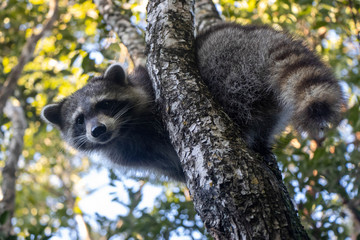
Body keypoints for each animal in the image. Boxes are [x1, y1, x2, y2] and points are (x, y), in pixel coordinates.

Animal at [40, 23, 344, 182]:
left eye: (104, 105)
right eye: (80, 120)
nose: (98, 130)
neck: (125, 131)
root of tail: (253, 33)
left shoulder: (151, 95)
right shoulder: (134, 154)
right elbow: (171, 168)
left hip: (228, 57)